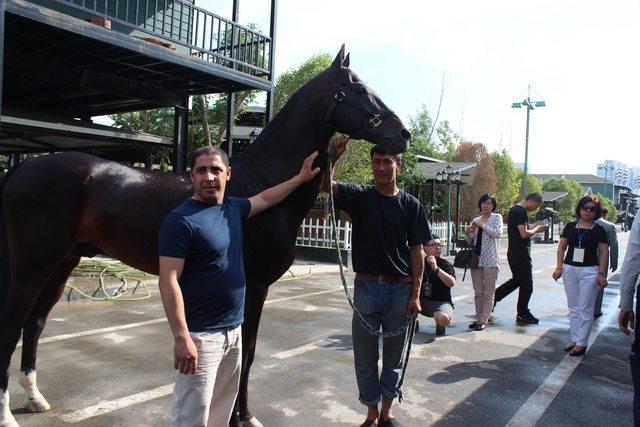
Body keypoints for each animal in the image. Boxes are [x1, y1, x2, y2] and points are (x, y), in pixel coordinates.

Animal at [0, 46, 410, 427]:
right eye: (358, 88)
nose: (402, 135)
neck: (262, 180)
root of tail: (22, 168)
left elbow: (246, 352)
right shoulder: (254, 285)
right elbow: (248, 352)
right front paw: (243, 416)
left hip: (63, 262)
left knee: (34, 325)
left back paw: (35, 398)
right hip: (31, 267)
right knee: (12, 326)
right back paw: (7, 414)